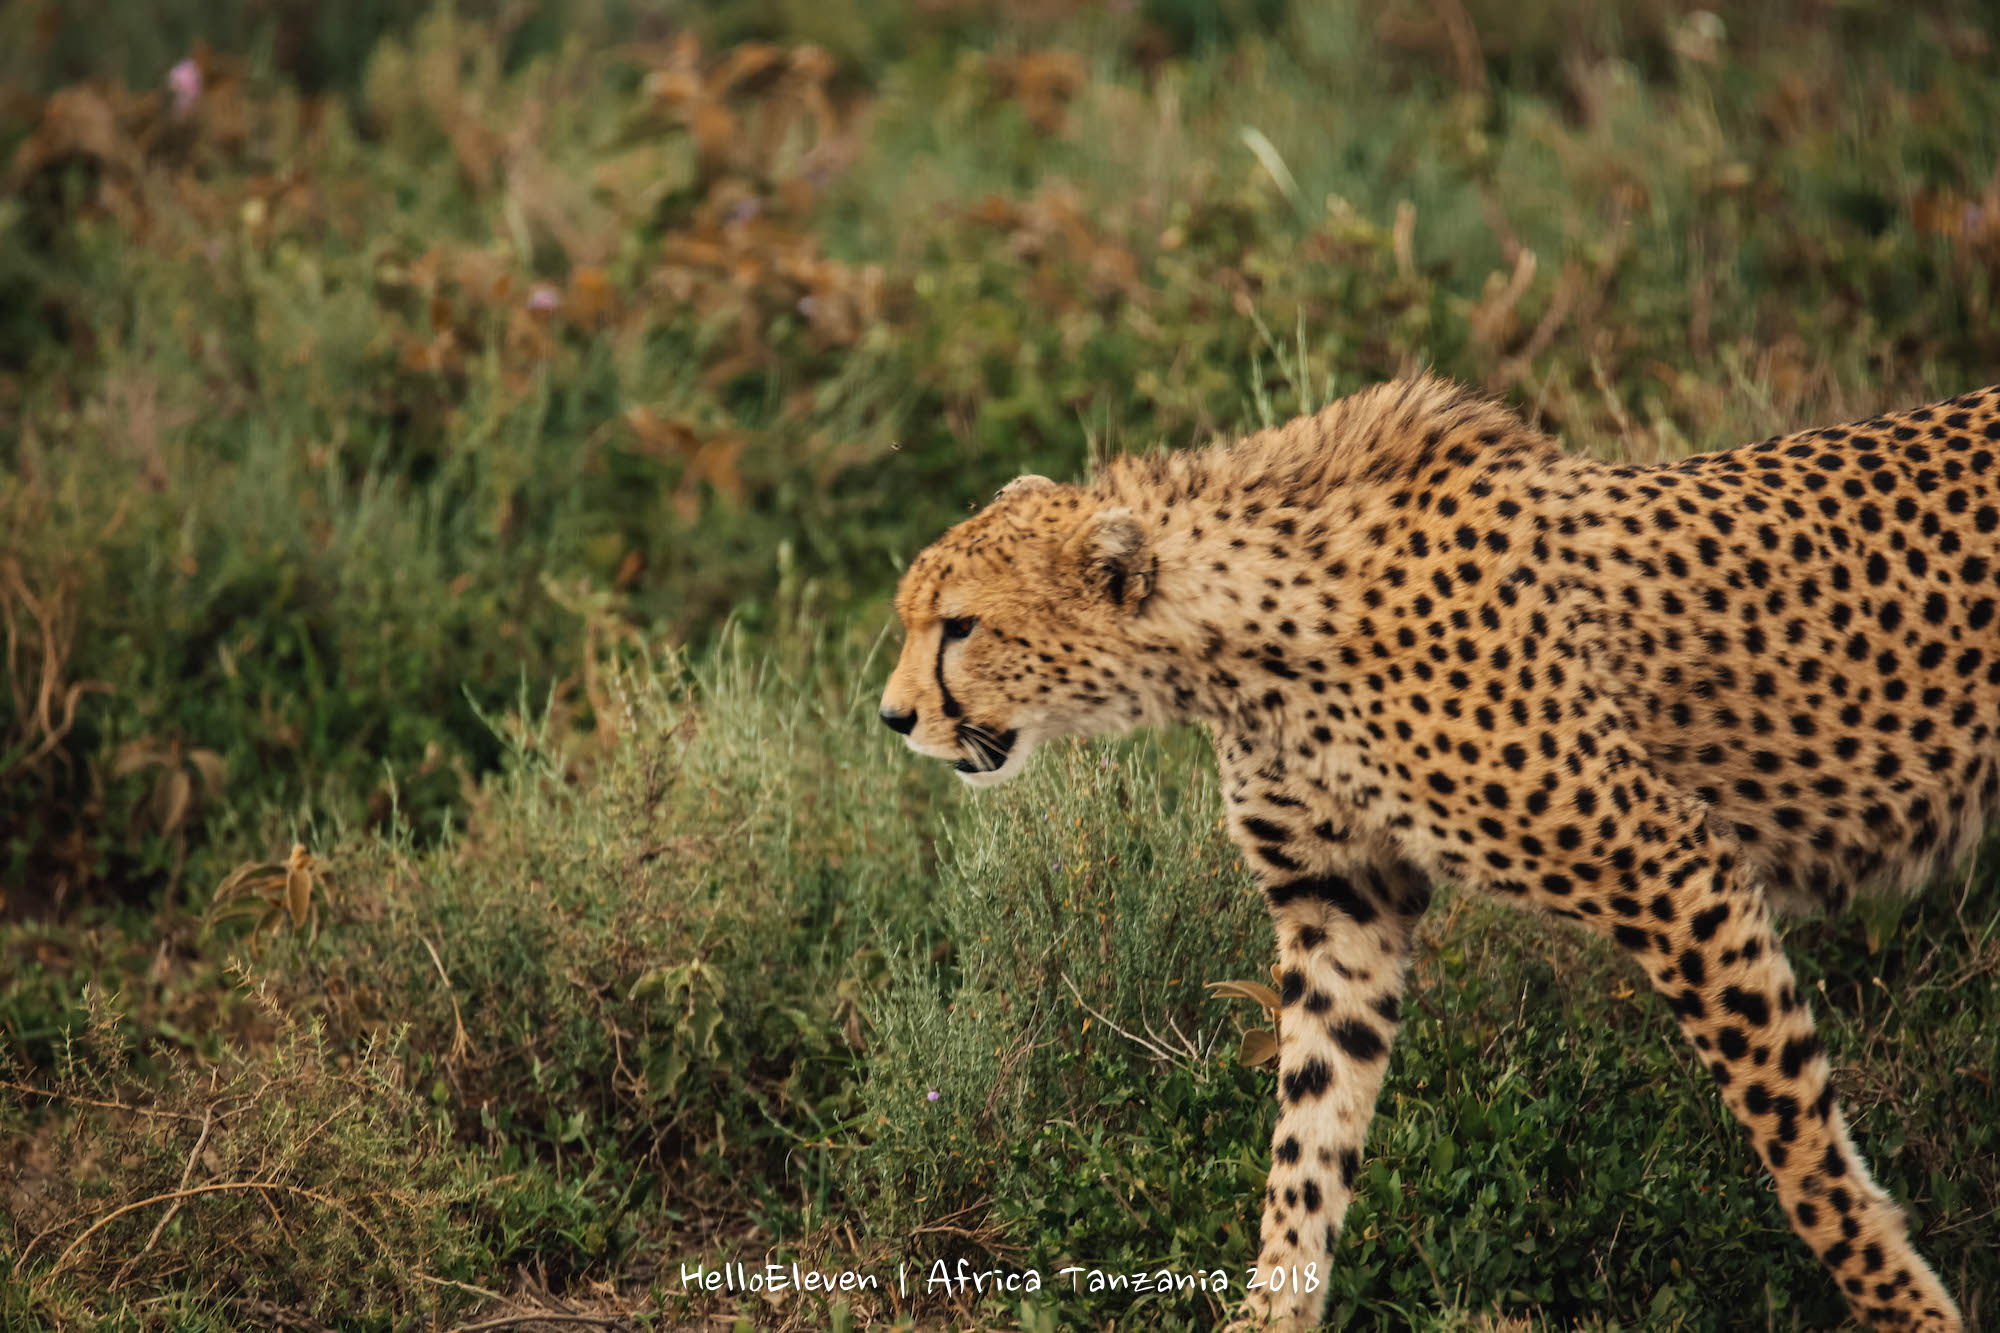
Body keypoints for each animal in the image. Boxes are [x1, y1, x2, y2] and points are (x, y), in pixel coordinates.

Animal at [880, 376, 2000, 1328]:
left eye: (960, 626)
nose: (892, 717)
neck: (1245, 637)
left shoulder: (1670, 868)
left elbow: (1796, 1144)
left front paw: (1906, 1304)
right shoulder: (1342, 903)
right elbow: (1309, 1130)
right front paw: (1273, 1307)